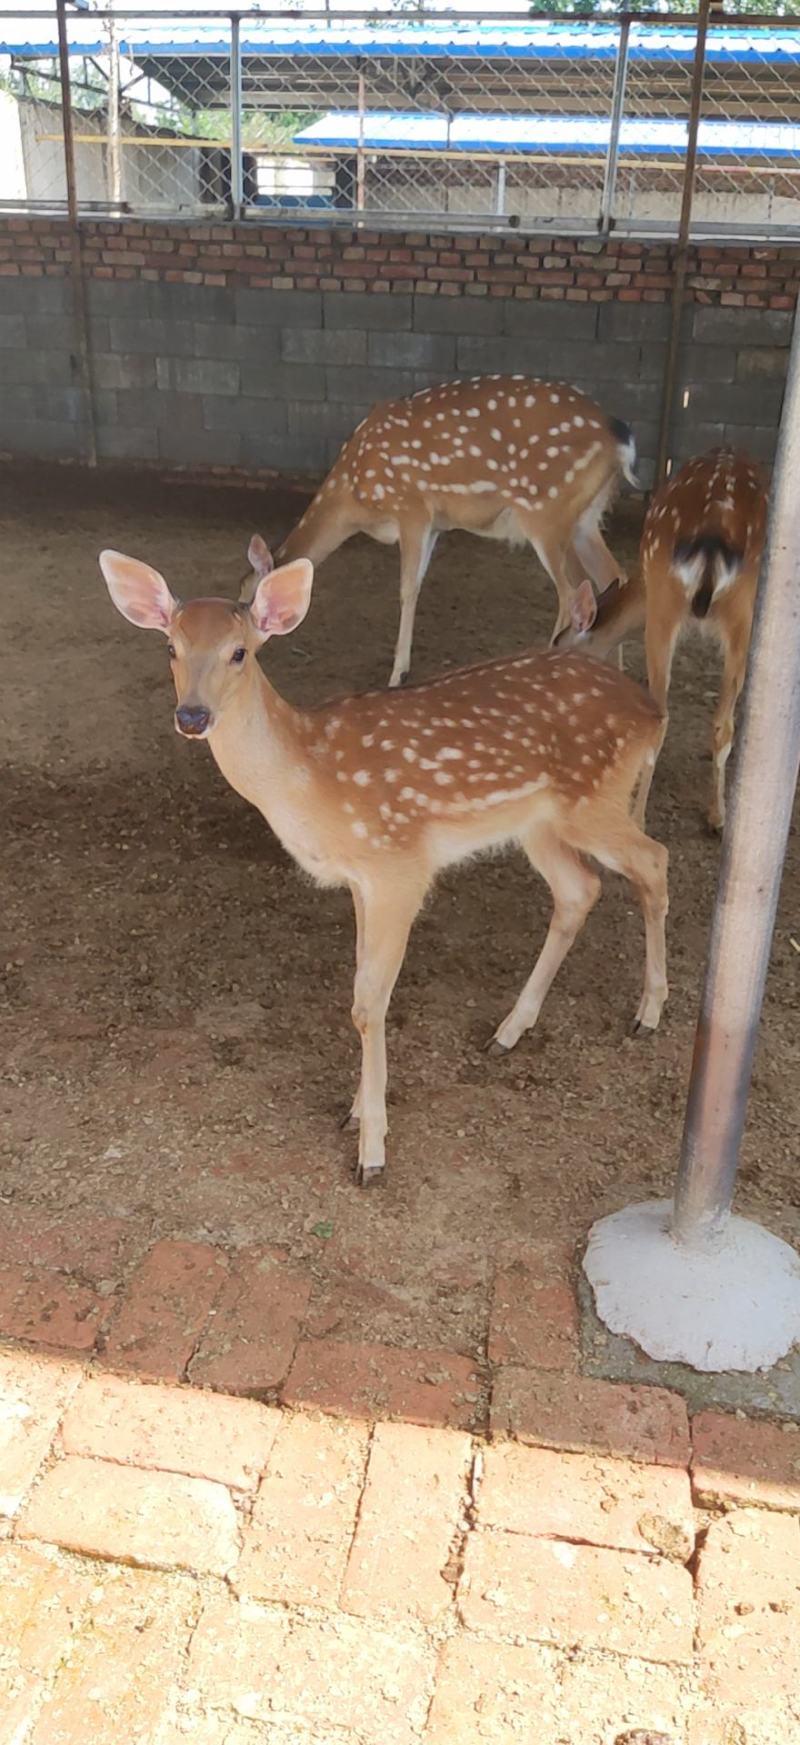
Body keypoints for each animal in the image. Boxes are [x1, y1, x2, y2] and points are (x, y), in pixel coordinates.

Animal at [99, 542, 669, 1187]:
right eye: (170, 647)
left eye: (239, 652)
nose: (192, 717)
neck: (310, 779)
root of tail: (652, 712)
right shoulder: (361, 880)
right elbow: (360, 993)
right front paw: (355, 1113)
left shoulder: (399, 866)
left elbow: (368, 1003)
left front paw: (371, 1149)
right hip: (538, 824)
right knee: (580, 888)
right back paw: (508, 1031)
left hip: (593, 801)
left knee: (653, 859)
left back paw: (648, 1013)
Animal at [249, 375, 638, 689]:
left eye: (248, 596)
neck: (355, 495)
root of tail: (622, 439)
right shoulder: (436, 523)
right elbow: (417, 584)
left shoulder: (412, 507)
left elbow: (407, 588)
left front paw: (398, 674)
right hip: (585, 518)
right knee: (613, 577)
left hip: (546, 511)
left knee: (570, 592)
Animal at [554, 448, 768, 833]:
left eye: (557, 649)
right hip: (732, 610)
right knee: (710, 723)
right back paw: (708, 815)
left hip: (673, 606)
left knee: (672, 718)